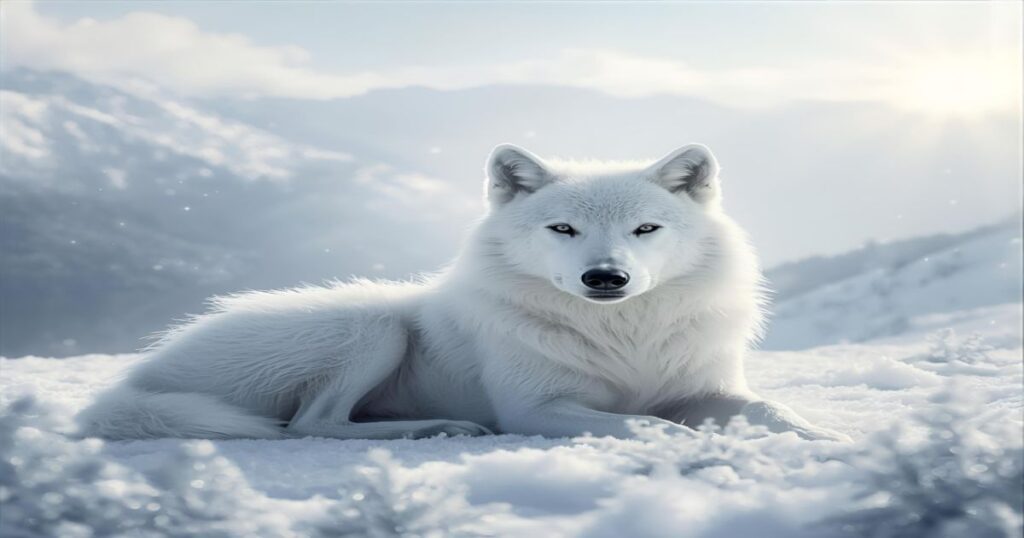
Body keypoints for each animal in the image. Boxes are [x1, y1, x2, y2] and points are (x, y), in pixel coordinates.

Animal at [77, 144, 849, 442]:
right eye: (563, 229)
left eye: (645, 229)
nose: (606, 278)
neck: (623, 336)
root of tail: (138, 378)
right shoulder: (535, 410)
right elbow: (642, 425)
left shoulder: (709, 388)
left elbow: (773, 411)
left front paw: (830, 437)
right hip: (373, 326)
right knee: (311, 424)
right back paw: (437, 428)